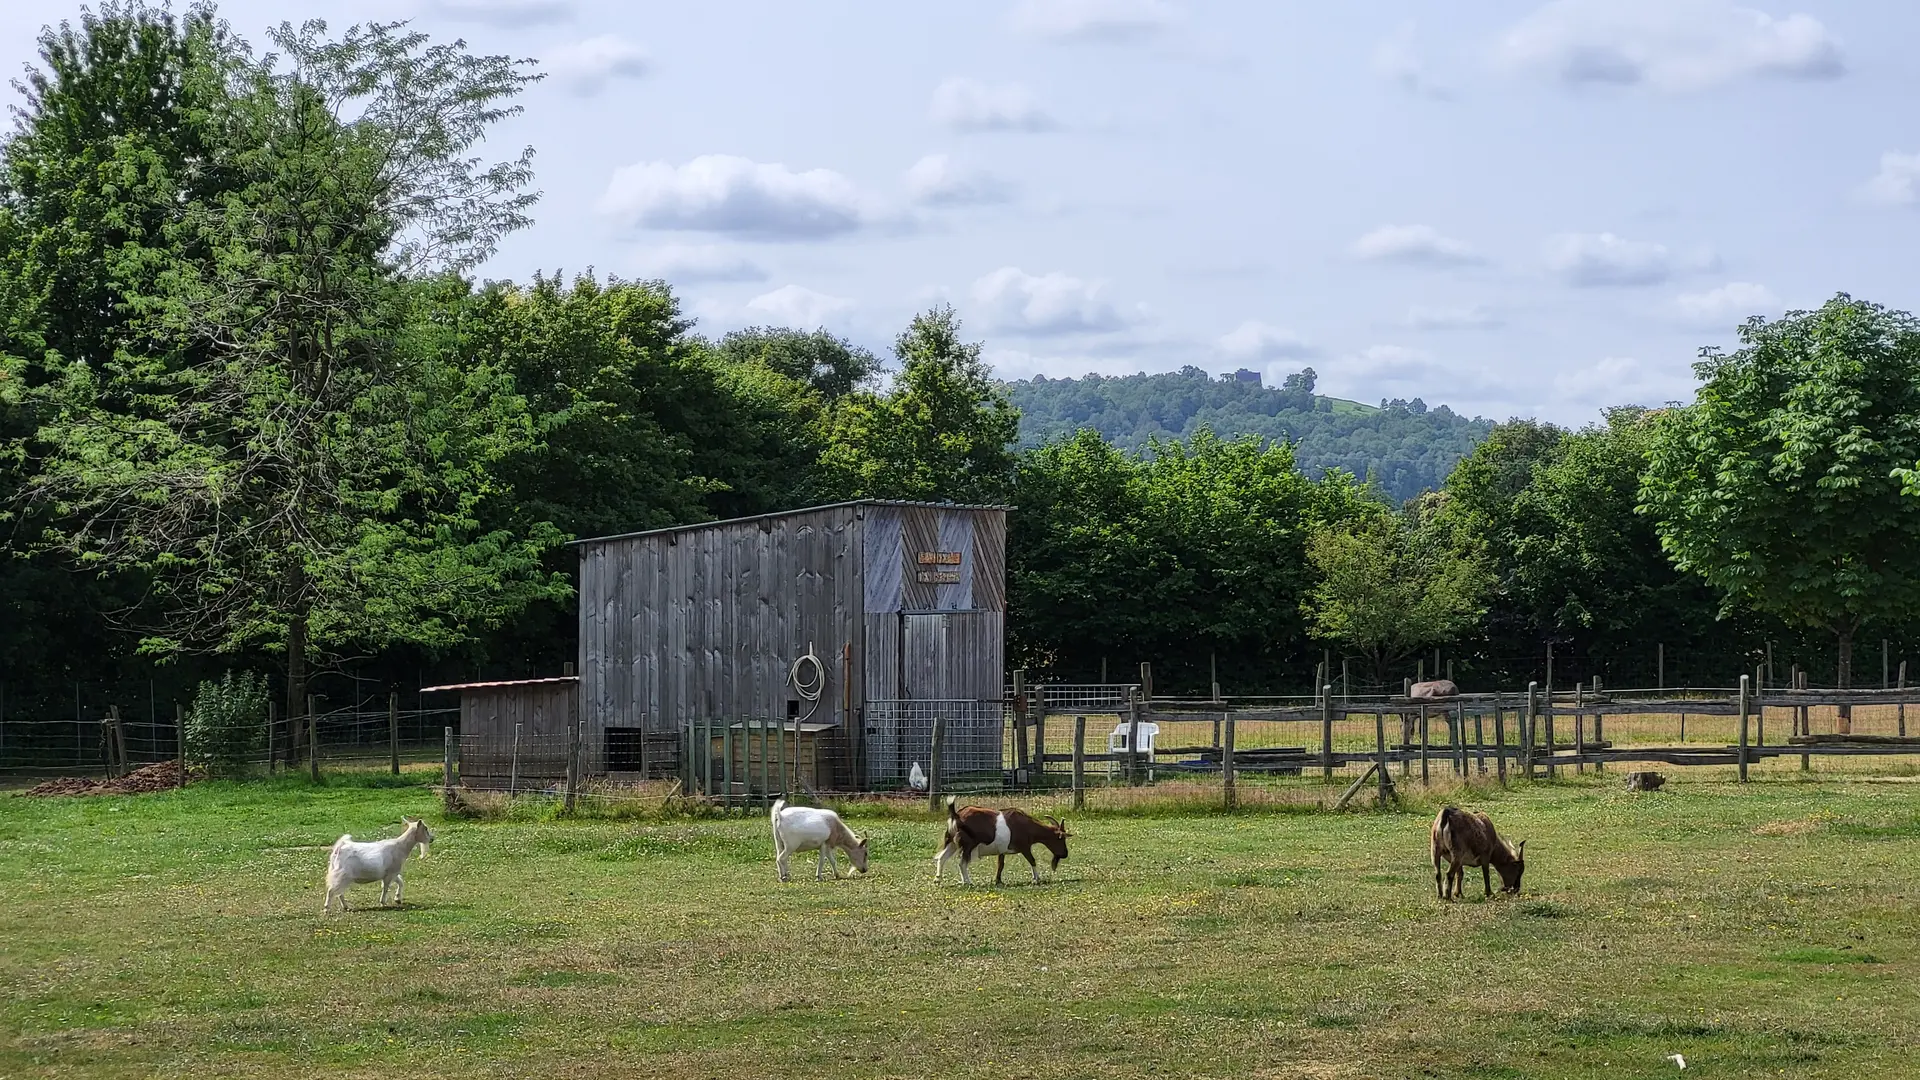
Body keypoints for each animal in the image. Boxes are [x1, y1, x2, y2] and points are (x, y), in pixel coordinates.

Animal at [936, 791, 1075, 883]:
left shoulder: (1001, 850)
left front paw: (998, 881)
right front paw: (1036, 879)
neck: (1027, 826)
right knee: (962, 863)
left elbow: (1000, 865)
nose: (1065, 854)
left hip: (951, 842)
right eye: (1061, 839)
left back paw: (937, 879)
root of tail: (957, 815)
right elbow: (1032, 860)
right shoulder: (1025, 847)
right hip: (968, 845)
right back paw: (967, 882)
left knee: (942, 858)